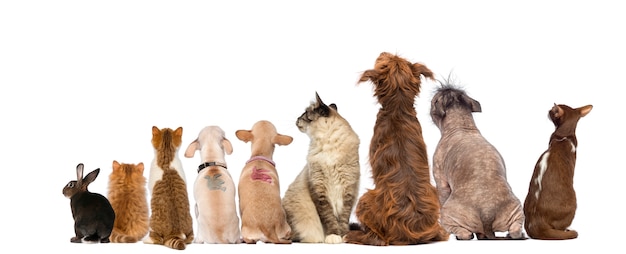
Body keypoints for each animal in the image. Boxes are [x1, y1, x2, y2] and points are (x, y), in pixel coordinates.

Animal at [282, 92, 360, 243]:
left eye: (305, 113)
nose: (297, 119)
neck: (328, 145)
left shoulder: (348, 190)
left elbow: (343, 219)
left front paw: (344, 236)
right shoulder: (319, 191)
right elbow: (329, 218)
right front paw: (333, 236)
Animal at [342, 52, 448, 245]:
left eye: (383, 61)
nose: (383, 52)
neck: (397, 109)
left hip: (365, 199)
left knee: (376, 238)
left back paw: (353, 233)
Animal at [428, 85, 520, 240]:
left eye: (433, 101)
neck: (462, 125)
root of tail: (487, 215)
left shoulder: (441, 182)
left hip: (449, 214)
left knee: (464, 233)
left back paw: (462, 235)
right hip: (516, 209)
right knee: (515, 230)